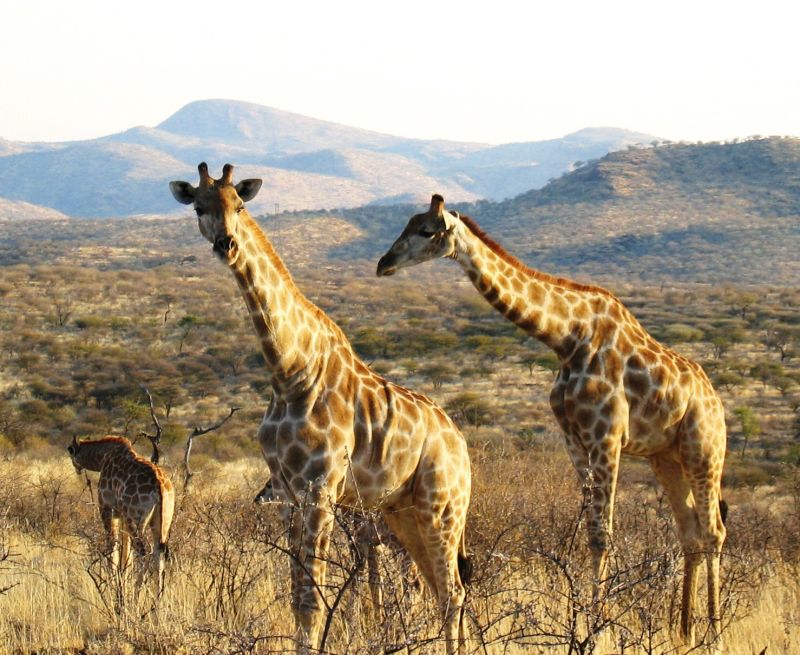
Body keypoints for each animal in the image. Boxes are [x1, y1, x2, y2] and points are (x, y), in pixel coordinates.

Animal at [68, 436, 175, 596]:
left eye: (70, 451)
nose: (77, 469)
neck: (102, 457)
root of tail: (160, 488)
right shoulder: (123, 516)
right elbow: (126, 555)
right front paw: (122, 582)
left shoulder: (107, 508)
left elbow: (112, 546)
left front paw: (113, 585)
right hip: (162, 523)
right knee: (158, 555)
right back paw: (157, 599)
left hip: (136, 521)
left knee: (144, 552)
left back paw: (136, 595)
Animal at [169, 165, 468, 655]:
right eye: (198, 207)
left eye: (241, 205)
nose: (227, 245)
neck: (289, 370)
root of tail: (461, 443)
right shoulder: (287, 493)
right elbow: (296, 595)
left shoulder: (320, 488)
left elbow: (313, 597)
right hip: (403, 512)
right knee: (441, 588)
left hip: (442, 507)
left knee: (453, 590)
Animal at [378, 195, 728, 644]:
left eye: (425, 231)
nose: (383, 263)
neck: (566, 338)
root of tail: (716, 401)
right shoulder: (575, 440)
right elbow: (589, 535)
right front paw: (582, 618)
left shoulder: (606, 436)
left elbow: (602, 536)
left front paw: (597, 628)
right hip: (666, 457)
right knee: (690, 534)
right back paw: (684, 629)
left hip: (704, 449)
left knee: (713, 531)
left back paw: (714, 632)